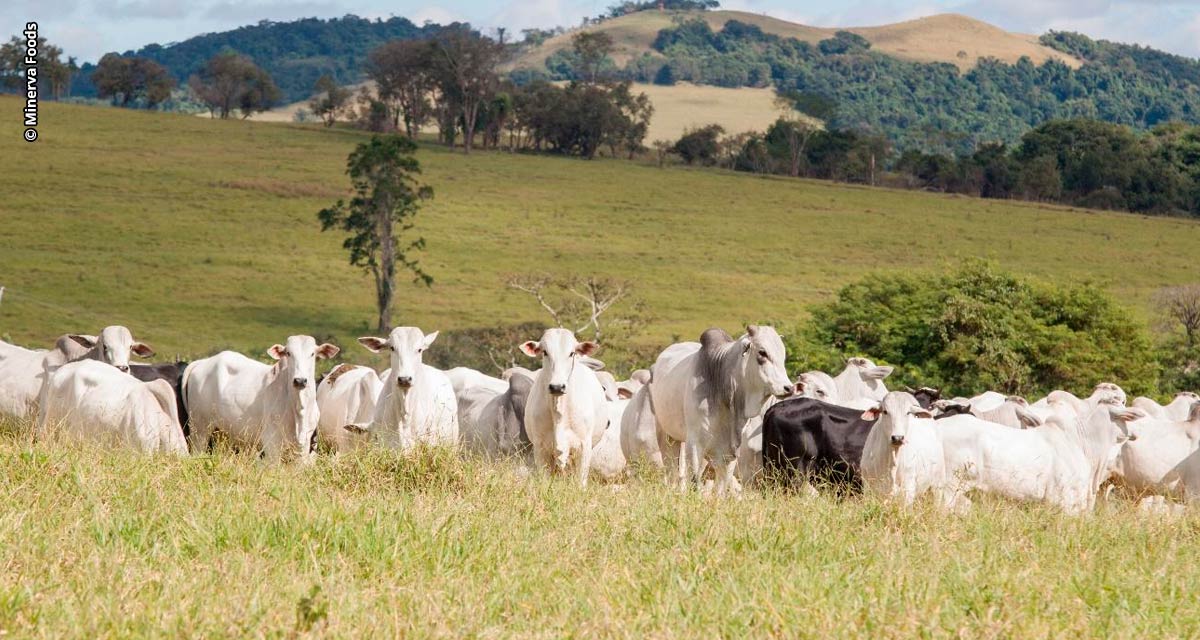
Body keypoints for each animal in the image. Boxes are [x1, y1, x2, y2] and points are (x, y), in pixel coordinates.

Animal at [184, 333, 340, 458]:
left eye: (312, 354)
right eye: (288, 353)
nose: (300, 380)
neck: (298, 409)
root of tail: (202, 362)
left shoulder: (305, 444)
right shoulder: (271, 443)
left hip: (222, 433)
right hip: (199, 429)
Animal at [520, 329, 609, 485]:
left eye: (571, 353)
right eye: (545, 352)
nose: (557, 387)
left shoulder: (584, 446)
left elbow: (580, 482)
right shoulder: (540, 448)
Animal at [648, 324, 796, 494]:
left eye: (783, 355)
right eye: (762, 352)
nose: (789, 388)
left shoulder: (729, 450)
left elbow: (721, 487)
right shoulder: (695, 444)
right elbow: (695, 482)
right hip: (667, 437)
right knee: (672, 469)